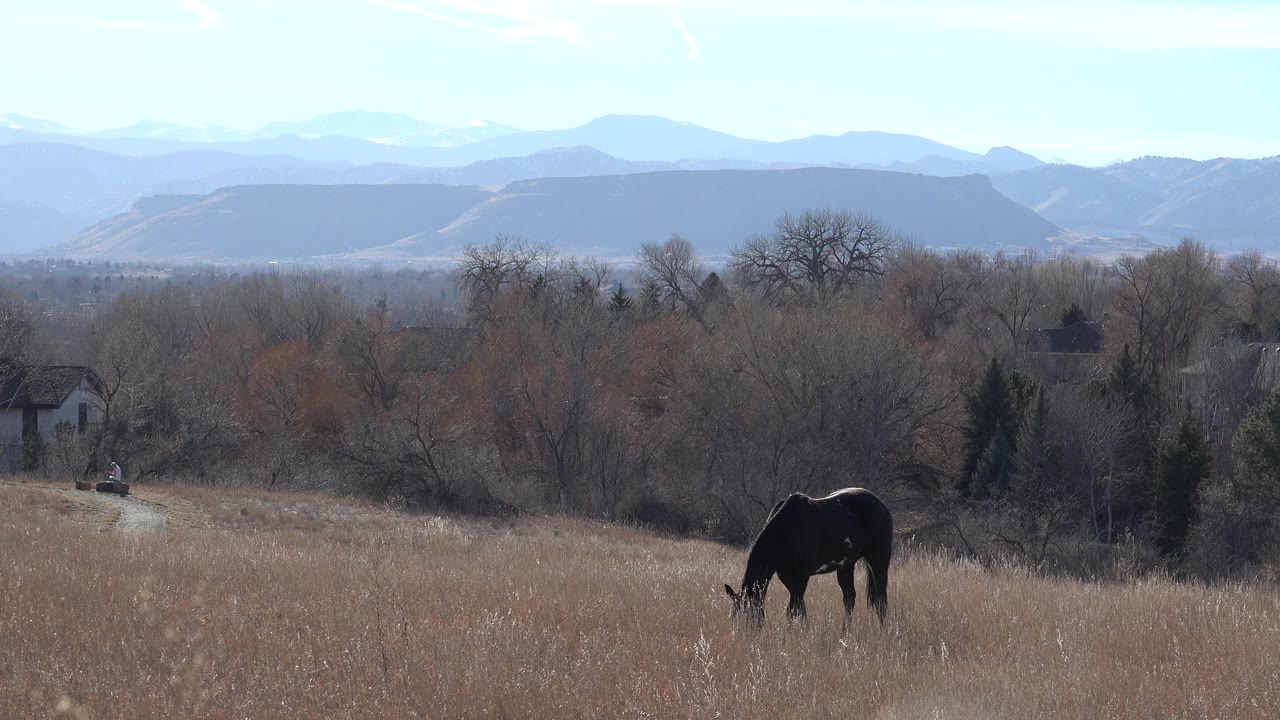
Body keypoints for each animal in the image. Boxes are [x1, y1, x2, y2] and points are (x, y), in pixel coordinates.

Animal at [723, 488, 893, 630]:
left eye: (749, 615)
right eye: (734, 616)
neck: (787, 530)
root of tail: (881, 505)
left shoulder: (802, 576)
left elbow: (792, 609)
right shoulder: (787, 577)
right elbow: (800, 607)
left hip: (878, 561)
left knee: (880, 599)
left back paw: (882, 631)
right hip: (847, 565)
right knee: (849, 598)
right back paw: (845, 633)